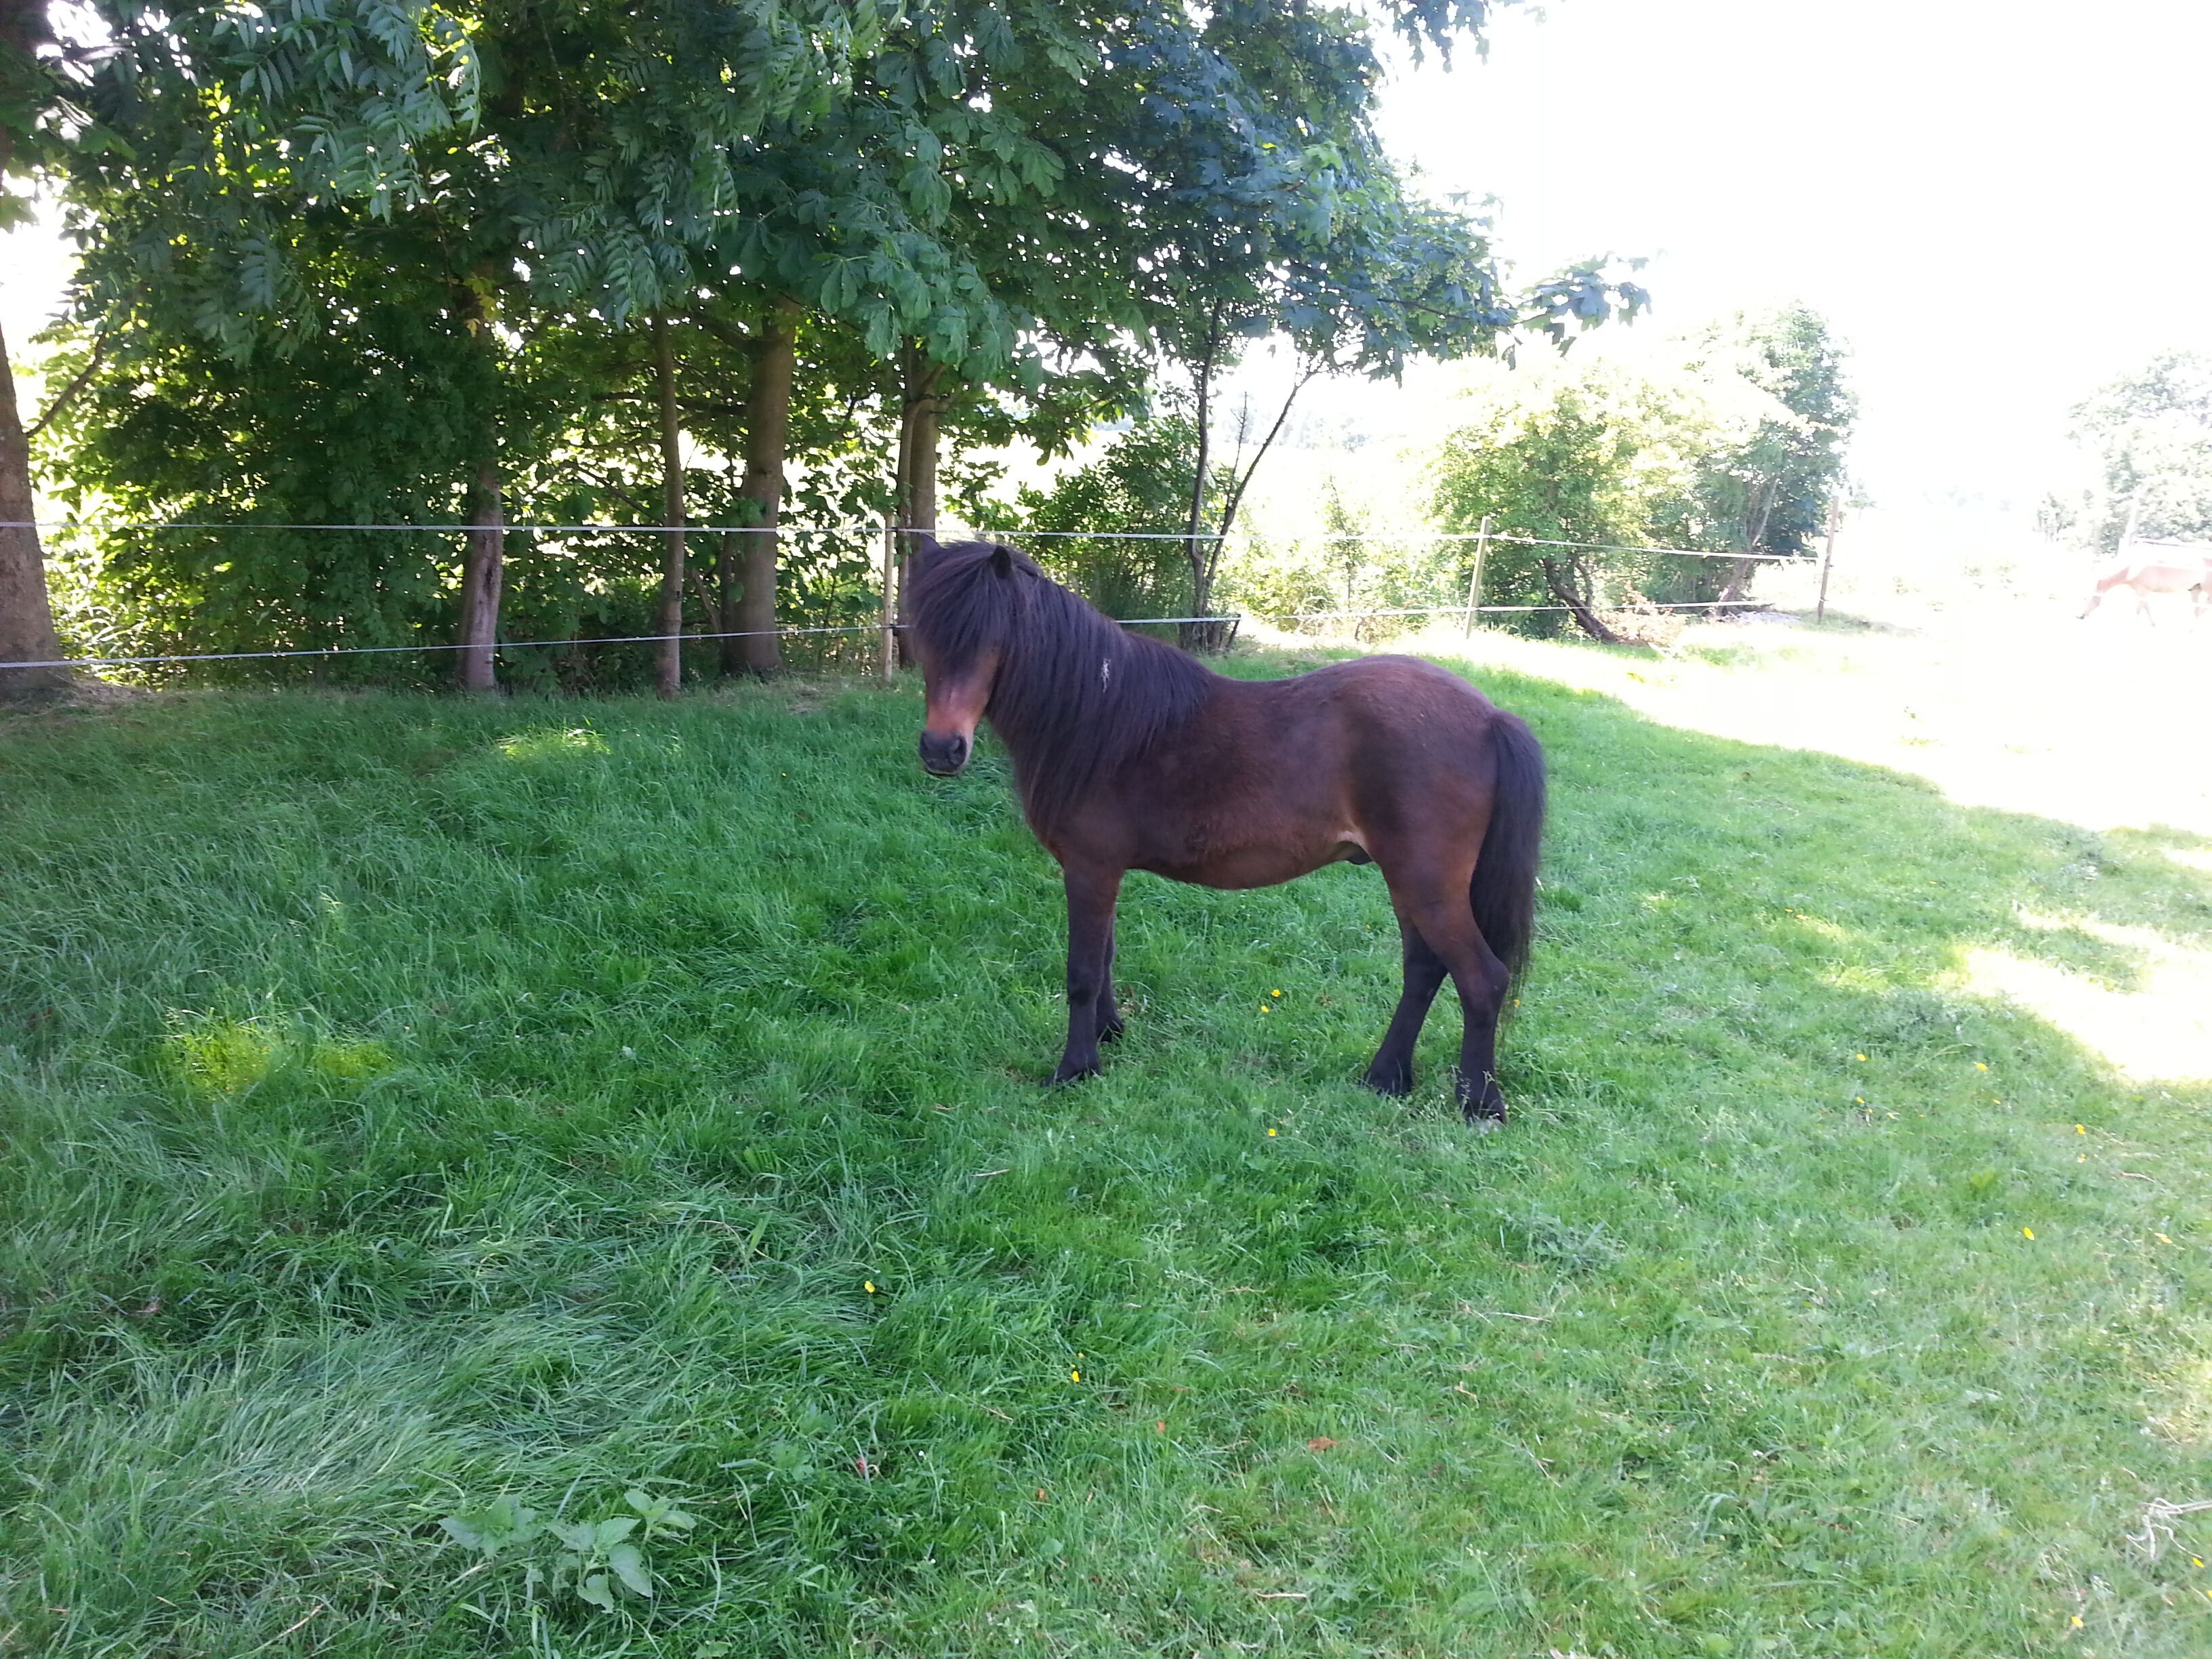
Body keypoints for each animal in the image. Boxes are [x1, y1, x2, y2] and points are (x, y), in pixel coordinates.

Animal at [903, 536, 1547, 1130]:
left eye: (990, 638)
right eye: (924, 634)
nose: (941, 750)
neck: (1100, 719)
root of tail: (1491, 717)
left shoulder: (1089, 868)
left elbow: (1082, 971)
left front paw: (1075, 1068)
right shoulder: (1103, 873)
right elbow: (1106, 956)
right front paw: (1110, 1034)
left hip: (1426, 883)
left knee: (1482, 979)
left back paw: (1479, 1103)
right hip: (1411, 882)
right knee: (1423, 970)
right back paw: (1385, 1077)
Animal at [2079, 545, 2212, 622]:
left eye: (2086, 598)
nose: (2079, 616)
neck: (2133, 567)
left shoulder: (2143, 590)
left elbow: (2139, 609)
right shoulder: (2142, 592)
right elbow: (2146, 608)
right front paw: (2153, 625)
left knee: (2203, 609)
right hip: (2196, 590)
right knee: (2197, 611)